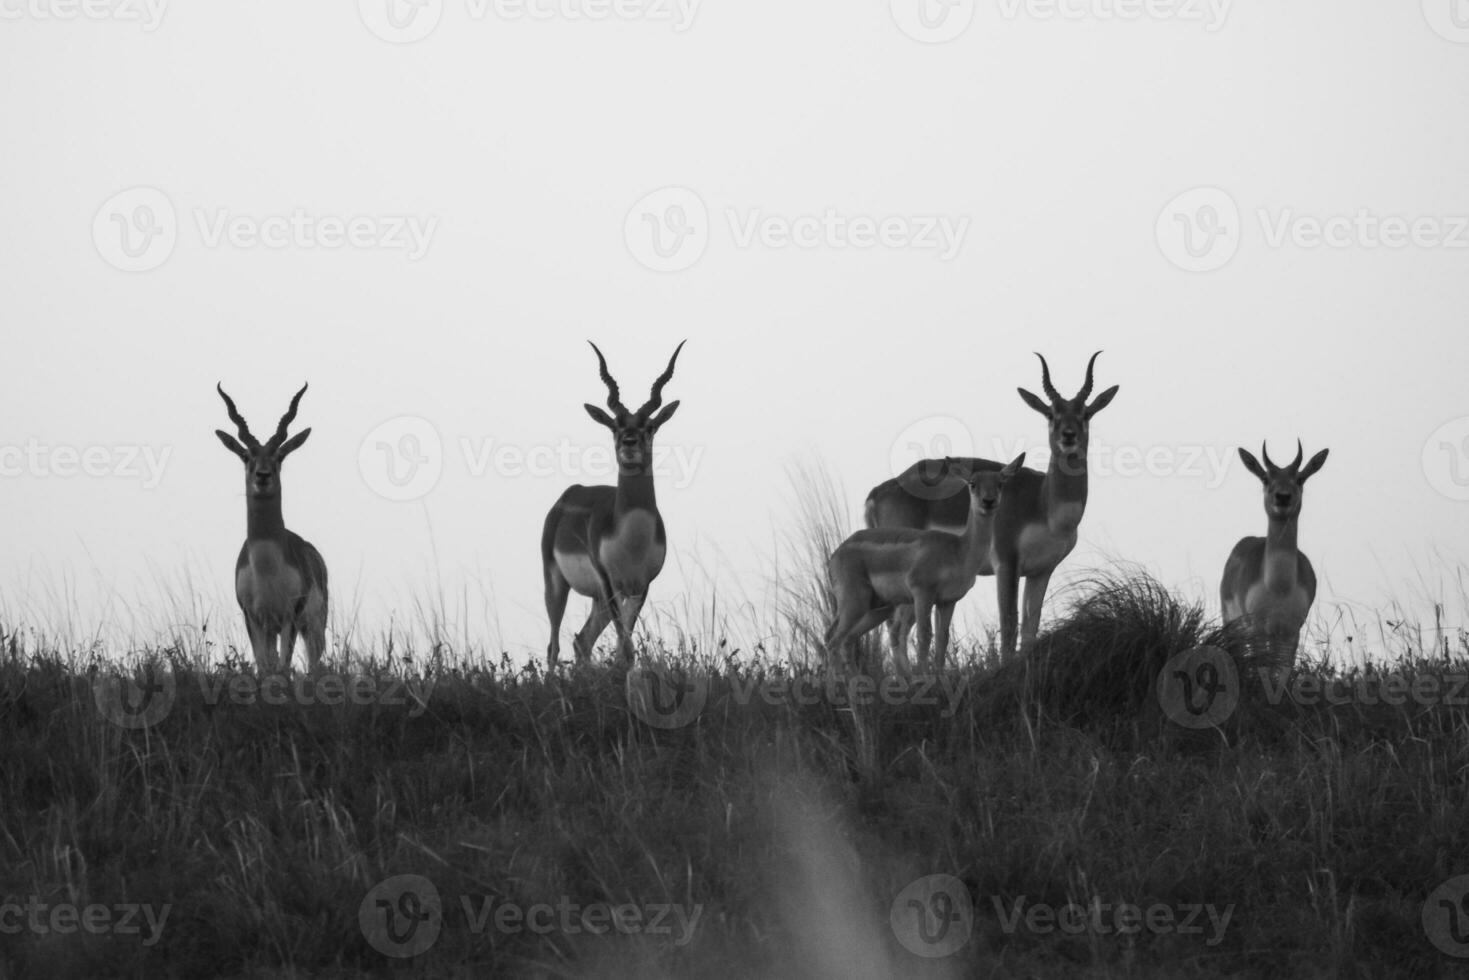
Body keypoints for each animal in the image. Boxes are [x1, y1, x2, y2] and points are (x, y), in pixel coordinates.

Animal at [214, 382, 329, 675]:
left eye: (279, 456)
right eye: (246, 456)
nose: (262, 476)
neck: (265, 566)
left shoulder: (289, 616)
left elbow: (283, 667)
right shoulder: (253, 618)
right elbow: (264, 666)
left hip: (314, 626)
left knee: (314, 663)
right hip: (272, 629)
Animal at [543, 340, 684, 669]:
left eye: (650, 426)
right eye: (615, 426)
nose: (629, 443)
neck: (631, 537)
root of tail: (569, 495)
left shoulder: (640, 586)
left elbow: (624, 650)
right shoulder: (610, 582)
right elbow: (627, 649)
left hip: (599, 601)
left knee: (581, 641)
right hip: (556, 584)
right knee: (553, 647)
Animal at [828, 455, 1022, 675]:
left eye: (1000, 483)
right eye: (972, 484)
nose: (988, 502)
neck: (959, 550)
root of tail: (835, 554)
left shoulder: (948, 601)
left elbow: (942, 639)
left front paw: (938, 676)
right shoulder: (922, 594)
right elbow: (924, 636)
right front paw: (923, 677)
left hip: (874, 609)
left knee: (845, 639)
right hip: (855, 603)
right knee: (834, 641)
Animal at [863, 352, 1116, 658]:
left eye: (1085, 413)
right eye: (1050, 414)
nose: (1068, 436)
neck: (1045, 505)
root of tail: (879, 492)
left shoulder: (1041, 570)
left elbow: (1030, 628)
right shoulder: (1006, 563)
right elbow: (1008, 625)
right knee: (898, 629)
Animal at [1216, 440, 1333, 678]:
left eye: (1299, 478)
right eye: (1265, 478)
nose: (1283, 496)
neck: (1279, 587)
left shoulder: (1291, 632)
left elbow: (1282, 673)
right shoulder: (1259, 629)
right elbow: (1261, 669)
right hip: (1234, 626)